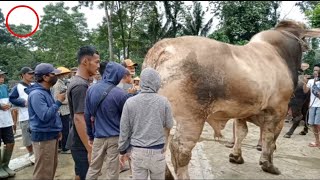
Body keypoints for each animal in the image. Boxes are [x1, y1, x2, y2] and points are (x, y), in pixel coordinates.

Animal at [142, 20, 320, 179]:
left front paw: (236, 156)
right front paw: (268, 164)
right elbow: (269, 137)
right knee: (180, 150)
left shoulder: (243, 112)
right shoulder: (279, 109)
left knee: (159, 146)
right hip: (192, 117)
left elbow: (242, 132)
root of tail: (164, 46)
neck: (280, 54)